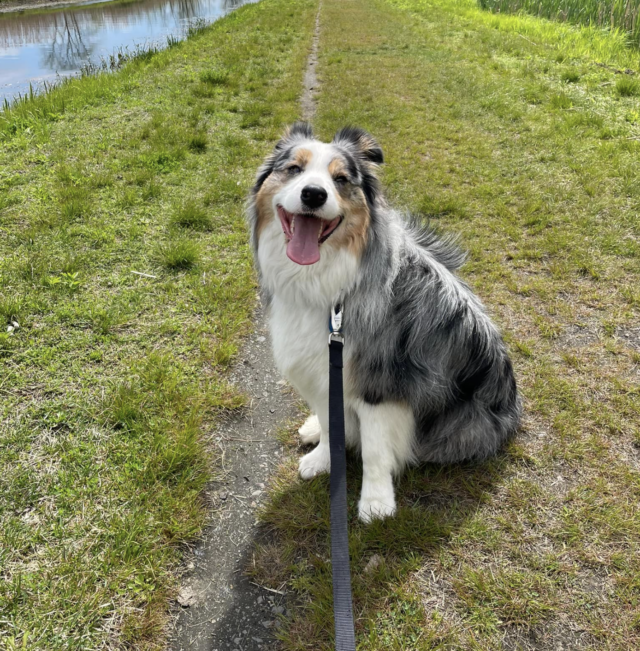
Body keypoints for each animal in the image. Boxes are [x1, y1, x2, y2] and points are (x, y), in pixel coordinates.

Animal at [245, 122, 520, 524]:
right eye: (294, 169)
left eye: (341, 179)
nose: (313, 194)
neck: (326, 283)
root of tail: (513, 410)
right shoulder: (325, 370)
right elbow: (330, 422)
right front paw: (323, 458)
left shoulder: (381, 380)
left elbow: (375, 448)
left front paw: (375, 502)